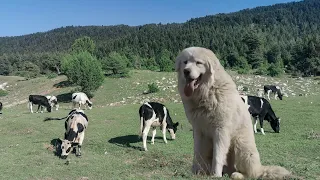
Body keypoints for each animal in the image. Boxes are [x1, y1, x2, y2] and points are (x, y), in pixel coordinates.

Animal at [175, 47, 292, 179]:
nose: (186, 71)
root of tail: (259, 168)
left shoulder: (221, 130)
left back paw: (237, 174)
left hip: (241, 146)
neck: (207, 92)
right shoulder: (198, 130)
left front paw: (215, 175)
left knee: (250, 173)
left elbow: (218, 156)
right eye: (185, 62)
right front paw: (196, 172)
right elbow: (197, 153)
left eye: (198, 63)